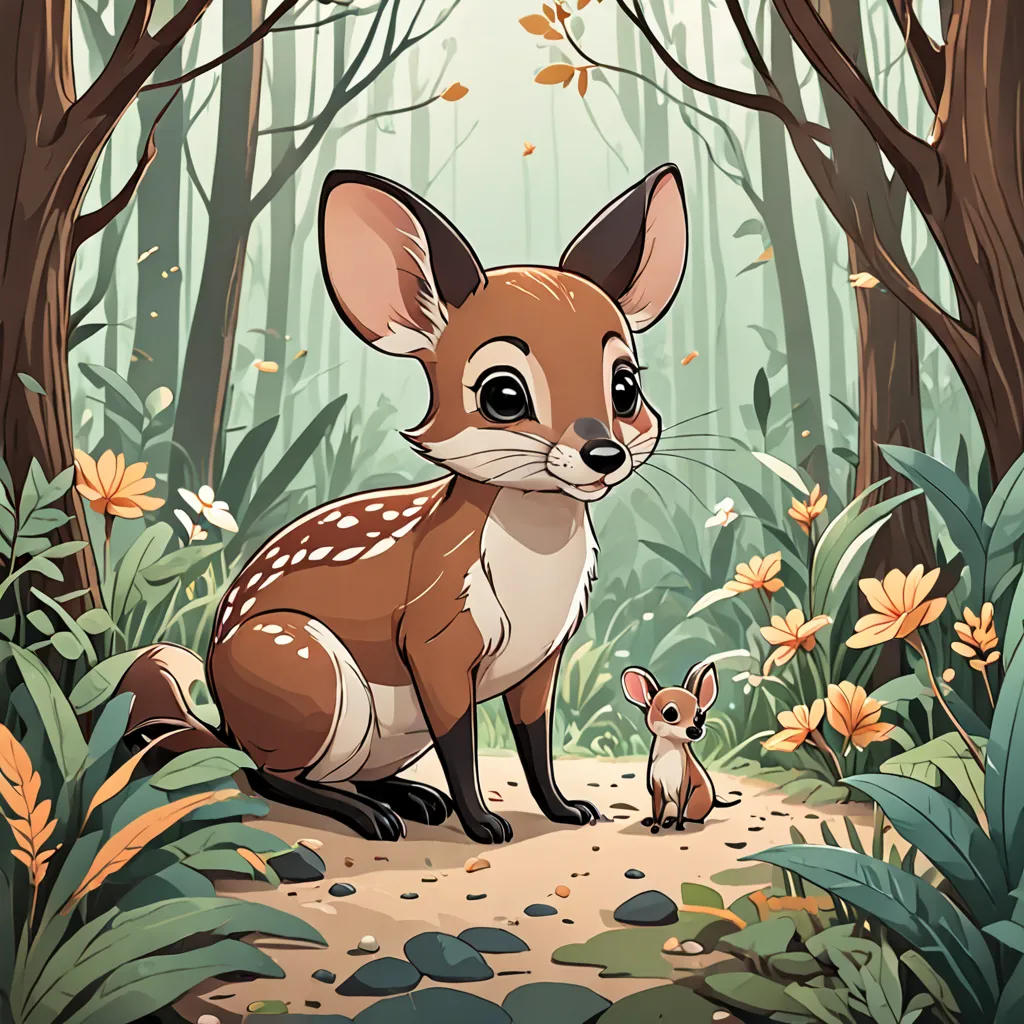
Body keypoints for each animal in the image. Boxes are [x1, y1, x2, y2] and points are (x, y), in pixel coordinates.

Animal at [115, 164, 689, 844]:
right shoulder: (435, 640)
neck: (536, 572)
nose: (604, 454)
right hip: (308, 669)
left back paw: (412, 798)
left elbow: (534, 744)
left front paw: (566, 810)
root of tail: (224, 724)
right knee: (269, 776)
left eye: (625, 386)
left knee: (337, 773)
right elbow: (462, 744)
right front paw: (484, 825)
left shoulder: (545, 660)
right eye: (503, 394)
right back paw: (373, 817)